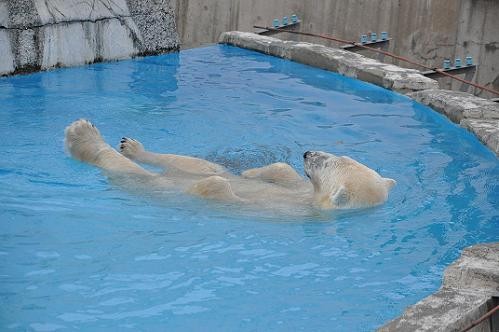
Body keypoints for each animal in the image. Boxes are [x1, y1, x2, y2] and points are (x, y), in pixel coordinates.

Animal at [64, 120, 396, 213]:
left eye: (326, 163)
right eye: (333, 157)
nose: (308, 152)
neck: (312, 202)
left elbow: (217, 190)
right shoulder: (300, 188)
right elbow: (282, 170)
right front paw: (249, 172)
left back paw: (83, 137)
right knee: (198, 165)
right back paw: (133, 147)